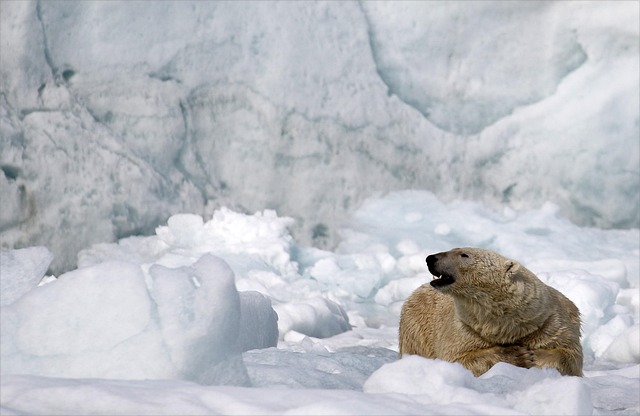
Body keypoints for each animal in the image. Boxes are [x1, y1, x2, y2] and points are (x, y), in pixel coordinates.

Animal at [398, 247, 583, 377]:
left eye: (464, 254)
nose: (431, 258)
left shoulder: (550, 323)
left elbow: (570, 356)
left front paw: (535, 355)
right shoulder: (464, 329)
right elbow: (459, 358)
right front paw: (519, 355)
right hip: (417, 328)